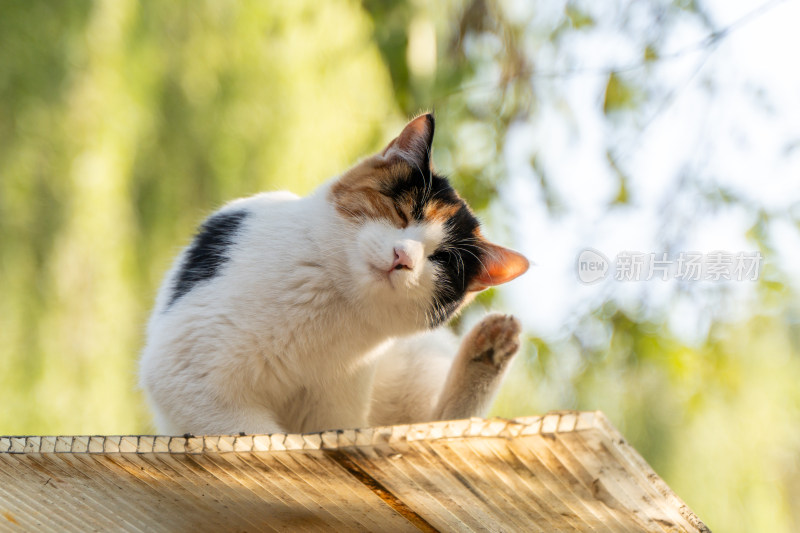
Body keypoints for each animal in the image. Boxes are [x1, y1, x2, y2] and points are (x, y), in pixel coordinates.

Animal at [140, 114, 528, 434]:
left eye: (440, 259)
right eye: (403, 214)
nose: (403, 257)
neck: (334, 305)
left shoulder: (334, 413)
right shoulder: (187, 374)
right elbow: (256, 434)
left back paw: (490, 348)